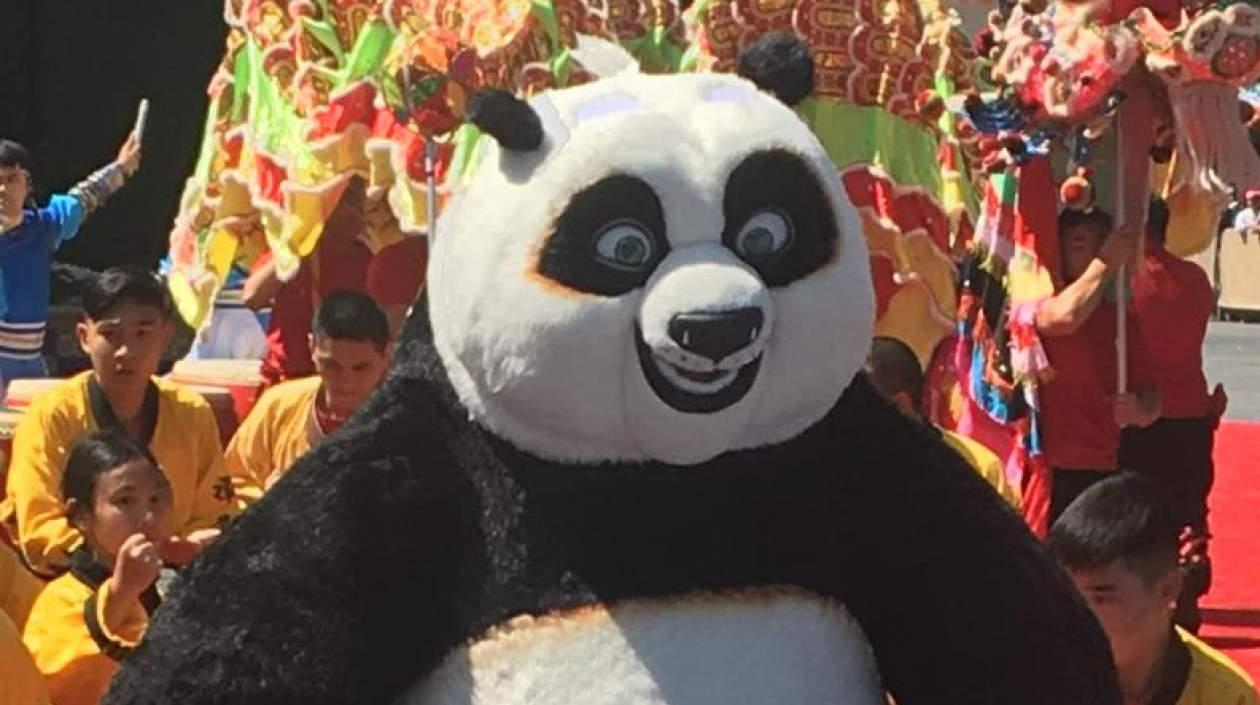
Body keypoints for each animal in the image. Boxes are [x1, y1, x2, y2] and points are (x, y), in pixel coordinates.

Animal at [103, 39, 1121, 705]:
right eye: (624, 245)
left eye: (769, 233)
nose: (717, 326)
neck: (651, 477)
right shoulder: (427, 458)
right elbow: (254, 619)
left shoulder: (835, 450)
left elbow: (1007, 618)